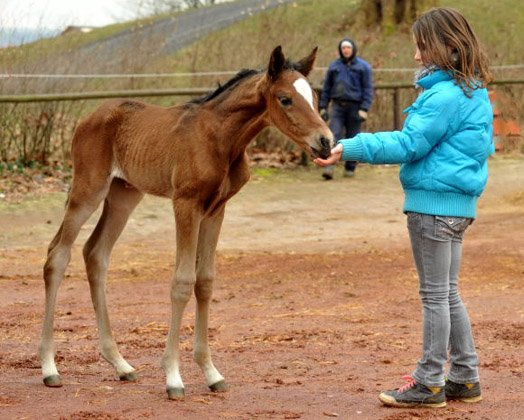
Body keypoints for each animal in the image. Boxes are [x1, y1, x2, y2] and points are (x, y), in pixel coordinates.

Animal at [37, 46, 332, 398]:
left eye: (314, 96)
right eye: (285, 98)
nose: (326, 141)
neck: (219, 138)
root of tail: (90, 117)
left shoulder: (216, 209)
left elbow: (205, 281)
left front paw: (211, 372)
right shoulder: (185, 203)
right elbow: (181, 282)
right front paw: (173, 377)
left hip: (124, 196)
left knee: (95, 254)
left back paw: (120, 364)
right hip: (88, 190)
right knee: (58, 254)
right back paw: (49, 367)